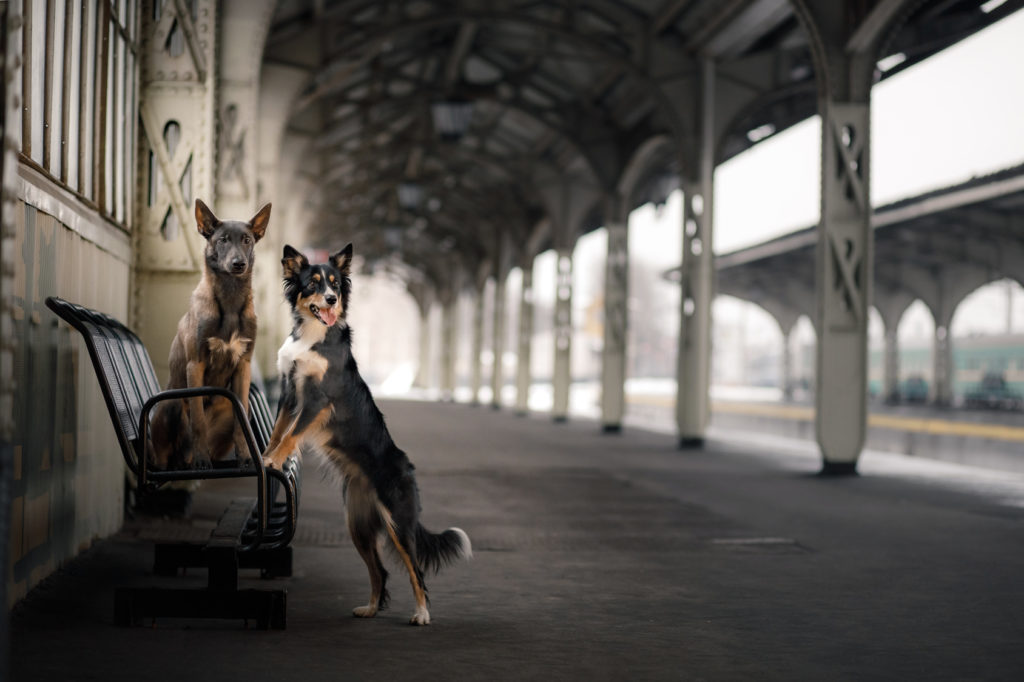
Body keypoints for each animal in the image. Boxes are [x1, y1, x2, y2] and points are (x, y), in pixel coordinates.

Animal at [149, 199, 272, 471]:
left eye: (246, 240)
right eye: (223, 239)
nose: (239, 264)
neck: (230, 299)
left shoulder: (243, 366)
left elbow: (240, 426)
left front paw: (246, 457)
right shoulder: (196, 365)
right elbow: (198, 422)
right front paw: (202, 459)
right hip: (171, 407)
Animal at [266, 242, 468, 622]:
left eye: (335, 284)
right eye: (313, 283)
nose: (332, 300)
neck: (314, 336)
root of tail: (408, 469)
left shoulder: (317, 399)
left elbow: (291, 435)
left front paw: (272, 462)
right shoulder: (289, 391)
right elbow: (278, 432)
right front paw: (266, 457)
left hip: (398, 523)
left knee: (416, 571)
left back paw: (421, 615)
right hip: (358, 526)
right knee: (380, 571)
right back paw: (371, 608)